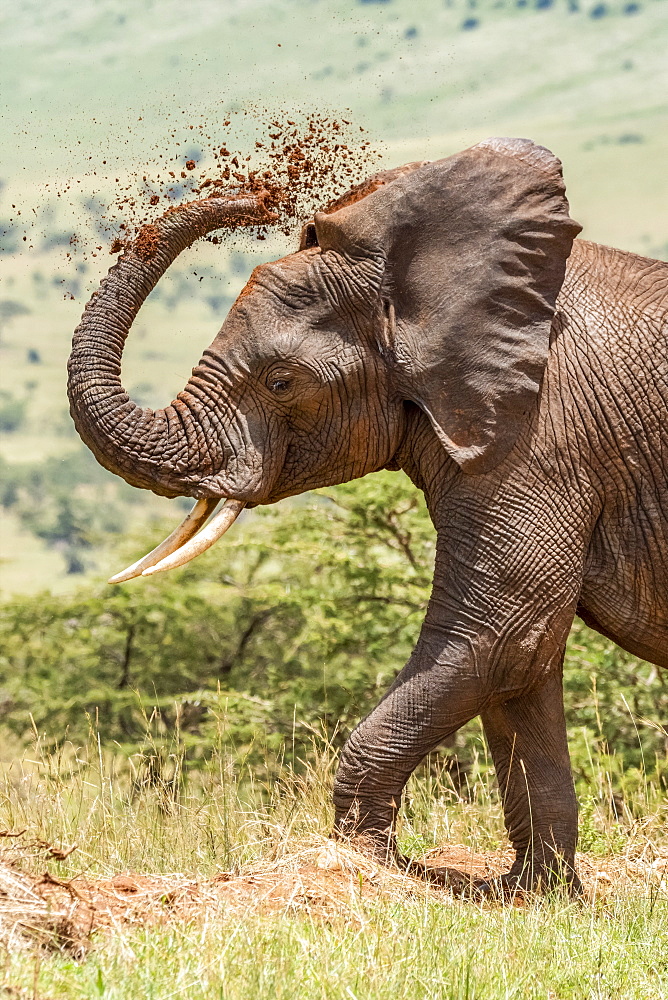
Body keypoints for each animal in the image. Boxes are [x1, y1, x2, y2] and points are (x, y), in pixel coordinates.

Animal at [69, 137, 668, 896]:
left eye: (282, 382)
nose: (262, 196)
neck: (418, 293)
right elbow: (525, 658)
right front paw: (533, 896)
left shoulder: (541, 435)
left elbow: (501, 628)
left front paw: (377, 864)